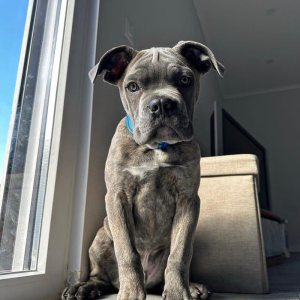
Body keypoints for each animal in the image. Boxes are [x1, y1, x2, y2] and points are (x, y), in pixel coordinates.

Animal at [62, 41, 224, 300]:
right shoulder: (118, 197)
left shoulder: (188, 200)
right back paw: (83, 287)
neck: (157, 147)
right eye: (132, 86)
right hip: (101, 237)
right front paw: (130, 294)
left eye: (185, 80)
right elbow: (127, 253)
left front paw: (178, 293)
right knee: (100, 277)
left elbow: (180, 254)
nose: (161, 104)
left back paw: (192, 286)